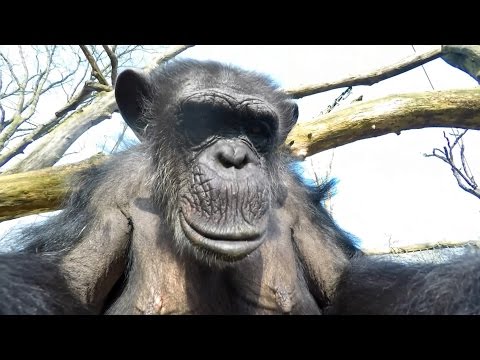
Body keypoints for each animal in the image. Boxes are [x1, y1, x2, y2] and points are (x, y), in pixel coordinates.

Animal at [1, 59, 478, 316]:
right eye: (203, 121)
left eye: (256, 129)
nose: (234, 157)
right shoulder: (107, 194)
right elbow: (67, 277)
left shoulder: (299, 201)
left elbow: (349, 282)